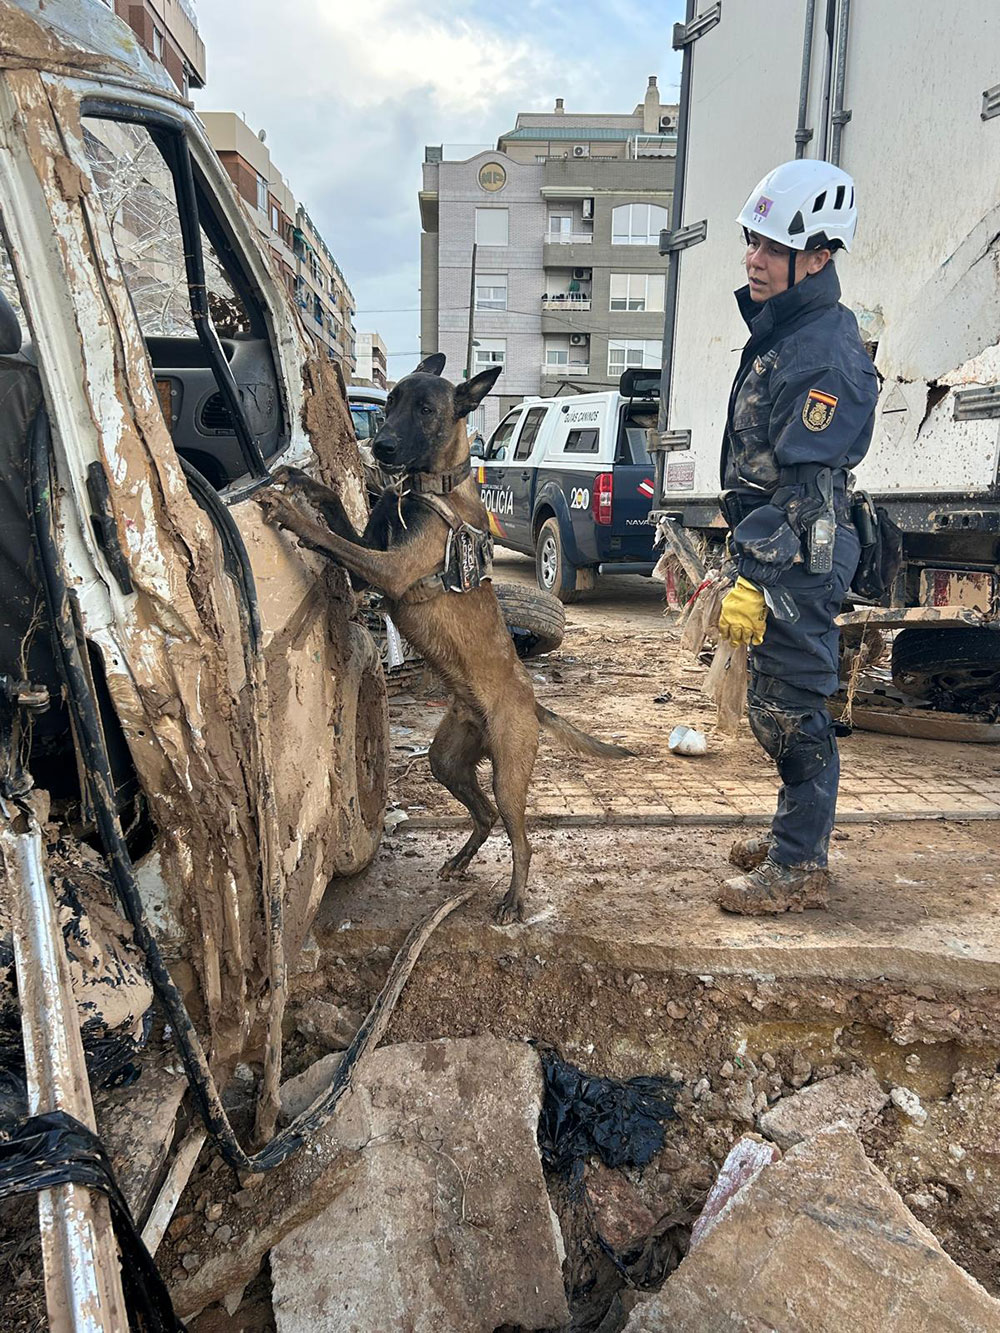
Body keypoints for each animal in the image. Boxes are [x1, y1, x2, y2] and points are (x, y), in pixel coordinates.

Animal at [260, 349, 634, 922]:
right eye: (390, 402)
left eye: (427, 410)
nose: (381, 446)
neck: (431, 489)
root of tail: (530, 703)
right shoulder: (370, 561)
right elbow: (335, 509)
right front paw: (301, 483)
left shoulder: (388, 571)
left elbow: (331, 537)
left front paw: (294, 515)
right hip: (448, 761)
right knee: (482, 816)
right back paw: (460, 861)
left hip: (508, 773)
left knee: (520, 838)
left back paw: (514, 899)